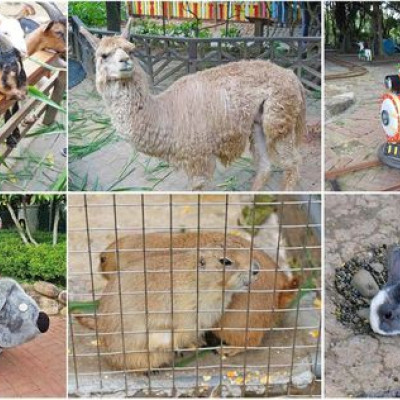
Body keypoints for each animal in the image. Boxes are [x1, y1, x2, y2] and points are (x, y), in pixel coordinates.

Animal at [79, 19, 308, 191]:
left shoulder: (199, 157)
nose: (125, 61)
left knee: (294, 163)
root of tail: (292, 76)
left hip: (278, 118)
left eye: (131, 51)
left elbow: (199, 192)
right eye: (103, 55)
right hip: (258, 123)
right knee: (266, 166)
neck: (164, 113)